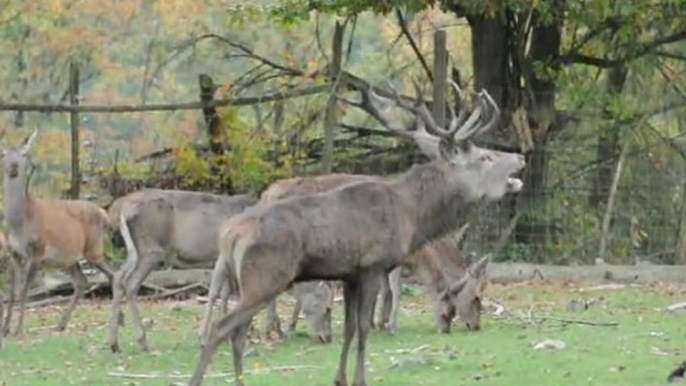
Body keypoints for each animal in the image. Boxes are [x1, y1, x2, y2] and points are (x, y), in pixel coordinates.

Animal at [2, 131, 118, 336]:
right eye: (3, 154)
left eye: (24, 154)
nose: (13, 168)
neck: (19, 224)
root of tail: (105, 214)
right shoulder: (13, 252)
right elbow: (13, 291)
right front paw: (5, 329)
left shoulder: (37, 250)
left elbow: (24, 289)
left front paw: (19, 330)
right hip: (70, 257)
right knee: (82, 282)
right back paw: (61, 324)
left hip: (94, 247)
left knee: (114, 275)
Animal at [191, 78, 524, 386]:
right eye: (485, 157)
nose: (520, 157)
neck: (412, 216)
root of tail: (230, 235)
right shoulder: (372, 267)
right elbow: (364, 327)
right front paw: (360, 377)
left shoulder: (349, 274)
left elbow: (350, 326)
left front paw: (340, 378)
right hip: (265, 277)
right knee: (221, 328)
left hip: (247, 280)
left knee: (236, 333)